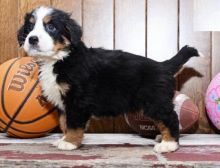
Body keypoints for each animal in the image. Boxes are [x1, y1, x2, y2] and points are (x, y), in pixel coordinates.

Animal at [17, 6, 199, 154]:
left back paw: (169, 144)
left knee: (170, 118)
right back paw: (163, 138)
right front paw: (63, 139)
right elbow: (64, 123)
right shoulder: (63, 103)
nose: (32, 39)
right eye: (30, 27)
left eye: (51, 27)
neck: (59, 59)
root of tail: (163, 65)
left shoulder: (77, 100)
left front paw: (69, 143)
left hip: (155, 101)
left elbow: (73, 124)